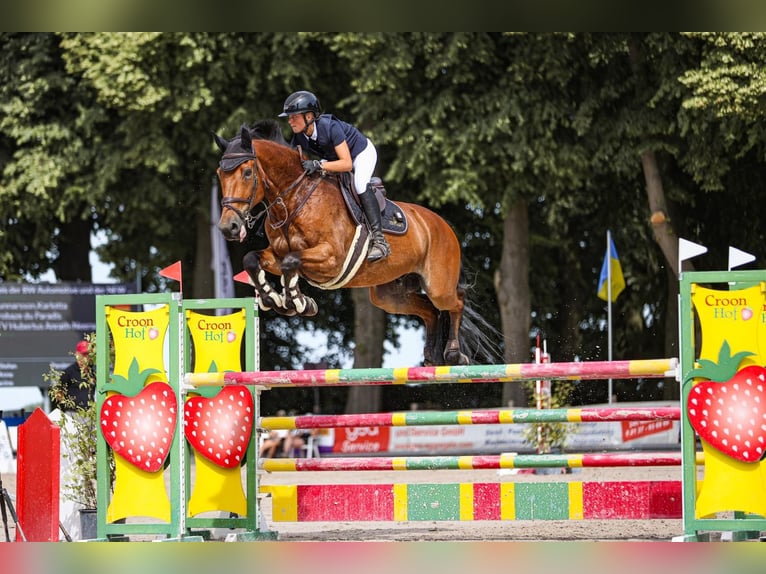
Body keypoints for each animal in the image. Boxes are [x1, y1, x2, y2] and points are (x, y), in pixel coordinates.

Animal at [213, 121, 494, 366]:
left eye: (247, 172)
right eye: (219, 174)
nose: (228, 227)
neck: (294, 199)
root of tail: (443, 226)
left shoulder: (331, 259)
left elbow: (291, 264)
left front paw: (297, 302)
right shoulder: (277, 254)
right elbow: (253, 259)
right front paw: (275, 299)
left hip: (438, 286)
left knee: (456, 301)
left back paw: (454, 355)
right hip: (390, 295)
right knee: (430, 311)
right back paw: (431, 358)